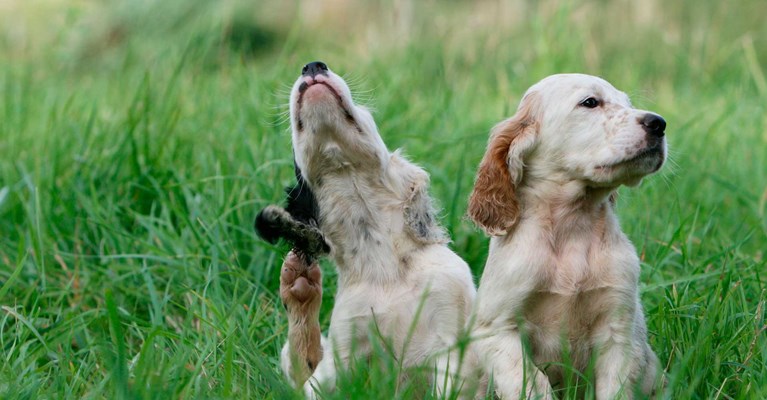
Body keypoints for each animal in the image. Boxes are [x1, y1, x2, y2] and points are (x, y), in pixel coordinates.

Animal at [258, 62, 476, 396]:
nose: (312, 66)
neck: (385, 265)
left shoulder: (452, 339)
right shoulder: (342, 355)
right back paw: (299, 289)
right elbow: (311, 387)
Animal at [468, 73, 664, 398]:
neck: (572, 226)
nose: (659, 123)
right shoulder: (498, 329)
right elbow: (532, 384)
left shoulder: (619, 331)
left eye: (628, 103)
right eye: (590, 102)